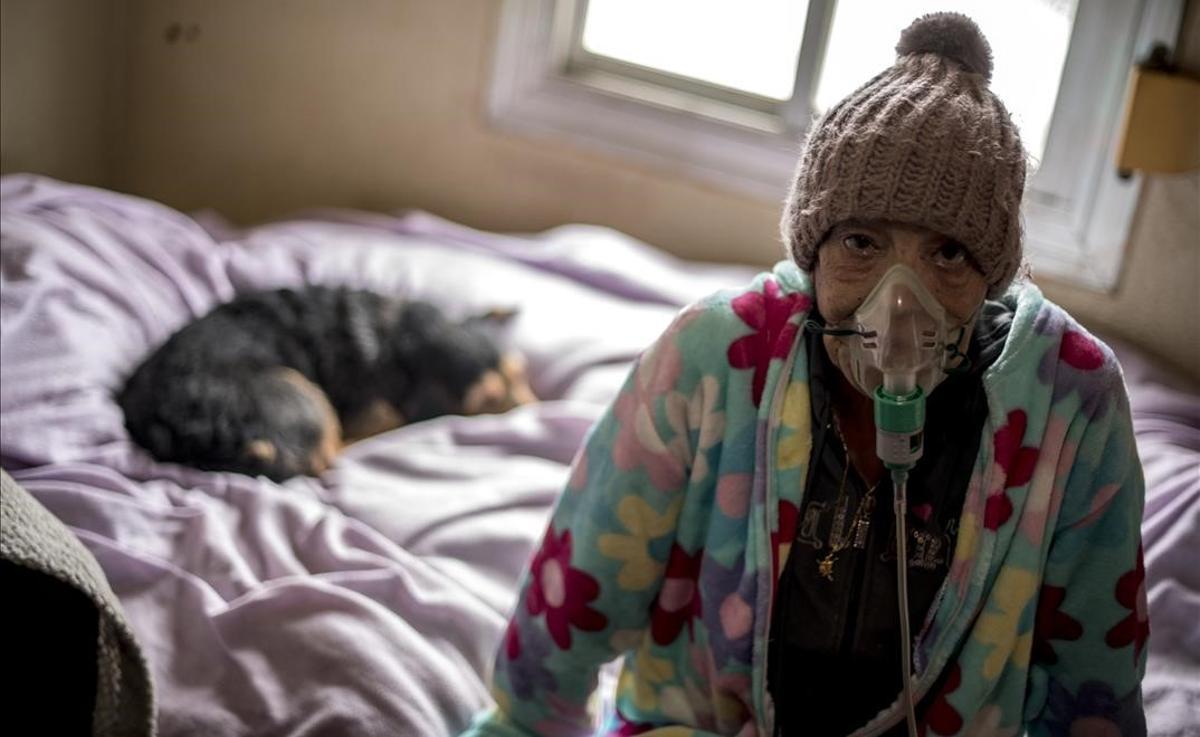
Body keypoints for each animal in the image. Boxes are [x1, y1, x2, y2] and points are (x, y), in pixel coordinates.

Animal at [120, 285, 535, 482]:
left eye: (522, 374)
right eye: (486, 403)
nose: (531, 408)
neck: (397, 338)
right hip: (302, 397)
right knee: (327, 456)